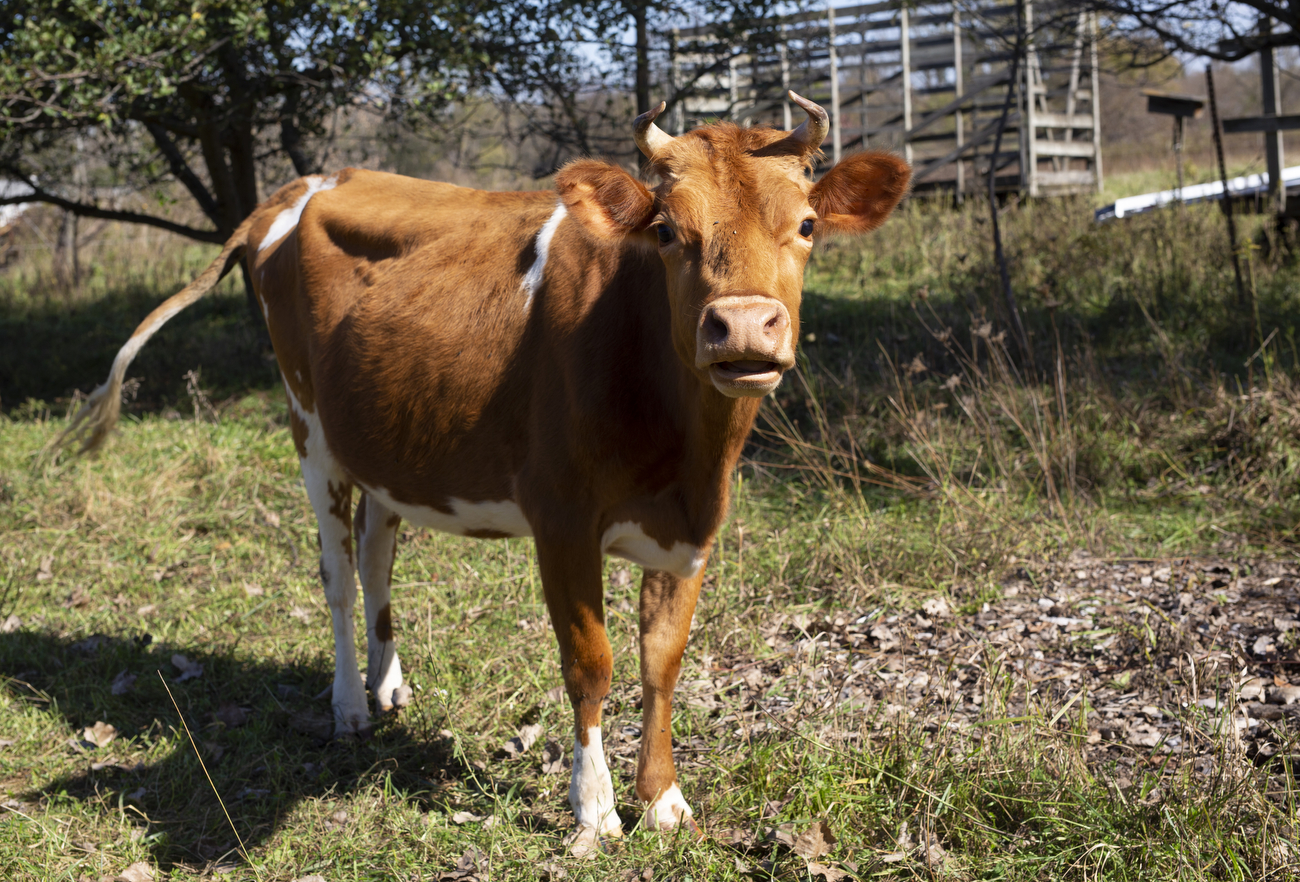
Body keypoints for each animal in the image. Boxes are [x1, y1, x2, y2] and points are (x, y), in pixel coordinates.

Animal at [61, 93, 909, 853]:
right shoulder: (561, 519)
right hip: (312, 432)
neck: (685, 450)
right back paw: (349, 707)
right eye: (668, 231)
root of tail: (305, 184)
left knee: (377, 552)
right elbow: (591, 665)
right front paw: (595, 811)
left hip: (386, 439)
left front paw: (664, 801)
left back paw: (388, 685)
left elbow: (662, 663)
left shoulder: (692, 531)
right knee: (338, 575)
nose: (741, 326)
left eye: (806, 225)